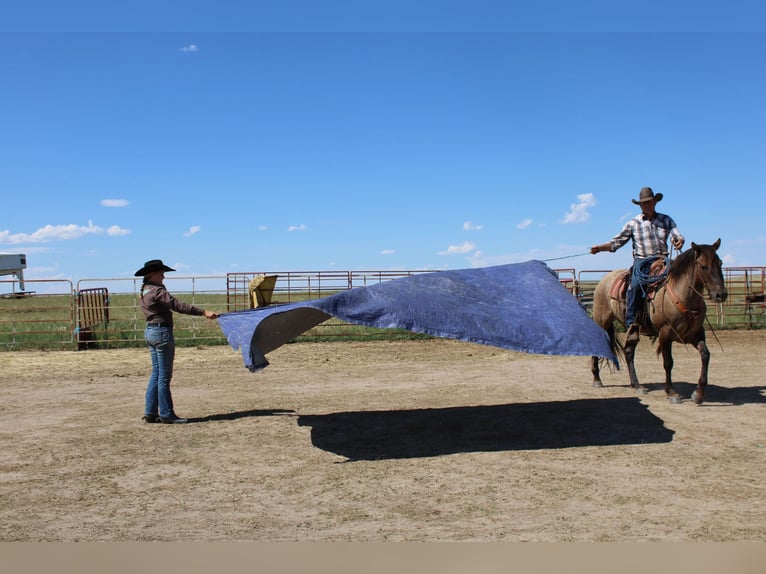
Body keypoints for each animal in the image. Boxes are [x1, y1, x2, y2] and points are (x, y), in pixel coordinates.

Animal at [592, 241, 732, 408]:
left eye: (720, 263)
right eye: (703, 266)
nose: (721, 294)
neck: (682, 296)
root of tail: (604, 280)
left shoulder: (696, 333)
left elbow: (705, 355)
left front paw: (698, 394)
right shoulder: (665, 333)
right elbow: (668, 362)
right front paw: (672, 392)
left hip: (634, 329)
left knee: (629, 352)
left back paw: (637, 385)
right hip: (602, 320)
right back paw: (597, 379)